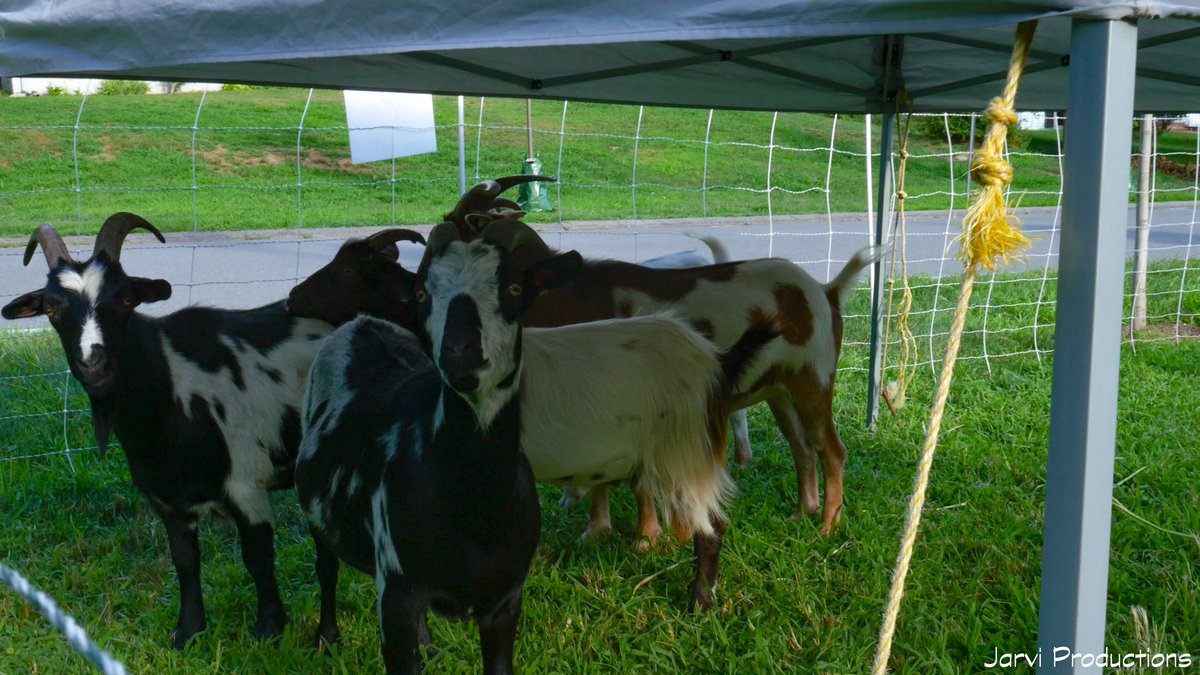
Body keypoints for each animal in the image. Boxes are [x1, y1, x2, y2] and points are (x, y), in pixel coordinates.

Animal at [2, 213, 331, 648]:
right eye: (53, 309)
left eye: (126, 299)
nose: (94, 364)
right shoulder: (167, 499)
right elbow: (185, 561)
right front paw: (188, 632)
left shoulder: (246, 482)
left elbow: (257, 556)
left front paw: (268, 629)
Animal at [297, 218, 583, 667]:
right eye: (422, 293)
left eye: (514, 288)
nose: (460, 352)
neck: (473, 509)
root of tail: (362, 322)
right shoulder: (396, 593)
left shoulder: (505, 599)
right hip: (319, 515)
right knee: (326, 566)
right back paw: (327, 637)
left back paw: (429, 646)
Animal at [446, 176, 888, 533]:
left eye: (461, 220)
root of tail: (826, 291)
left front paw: (607, 526)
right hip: (780, 389)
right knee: (802, 448)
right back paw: (802, 513)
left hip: (814, 377)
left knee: (832, 451)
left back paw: (829, 526)